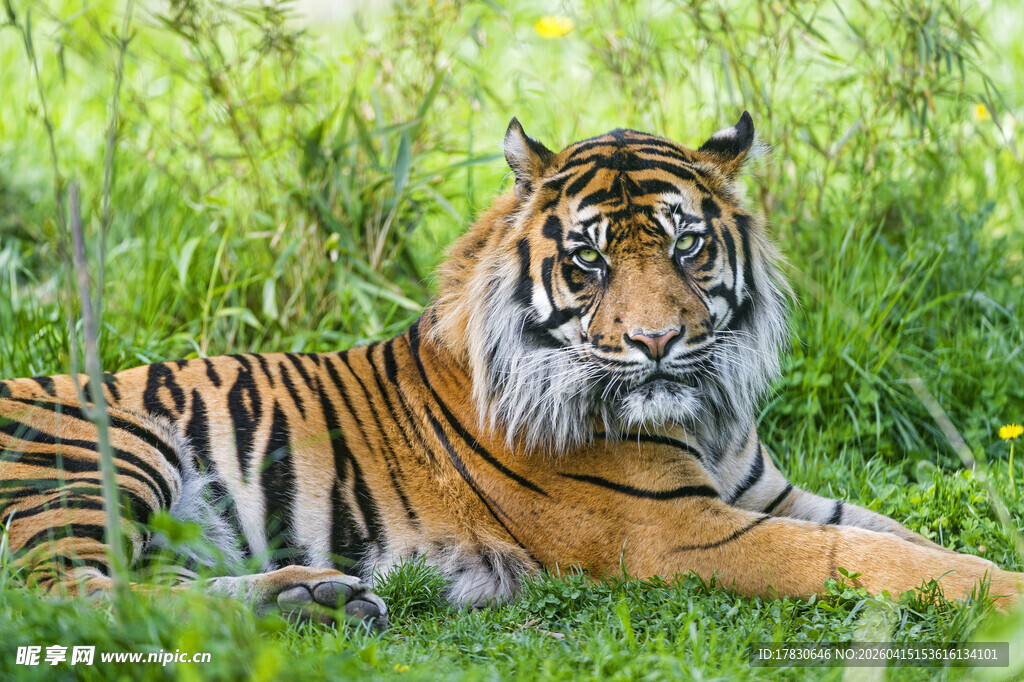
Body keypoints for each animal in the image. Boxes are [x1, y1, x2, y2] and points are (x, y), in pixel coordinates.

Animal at [1, 113, 1021, 629]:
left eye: (687, 247)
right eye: (589, 260)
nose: (657, 343)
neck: (703, 417)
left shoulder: (768, 495)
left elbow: (905, 538)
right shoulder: (681, 534)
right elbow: (876, 559)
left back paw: (313, 598)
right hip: (105, 453)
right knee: (61, 594)